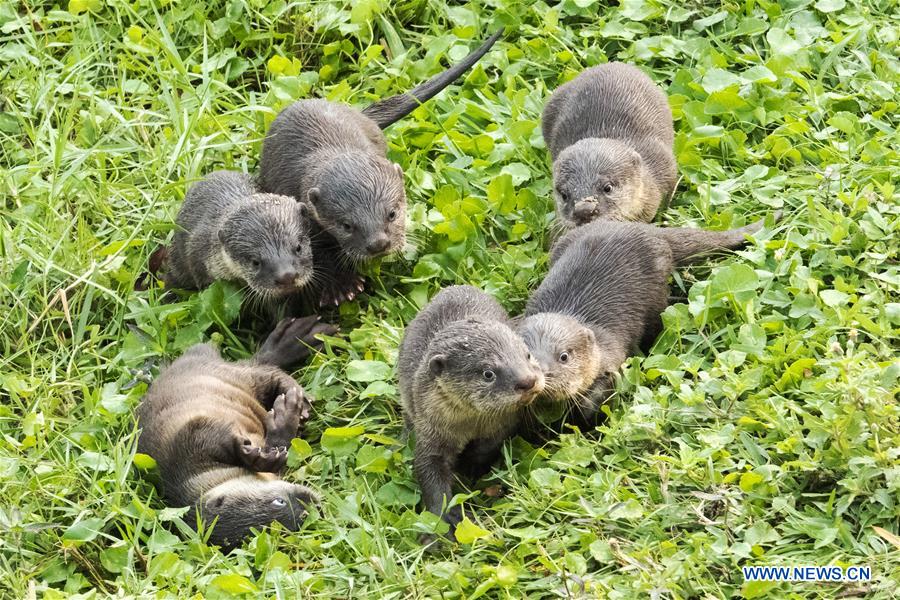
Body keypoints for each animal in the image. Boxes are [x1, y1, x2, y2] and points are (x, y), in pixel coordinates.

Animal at [136, 316, 332, 549]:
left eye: (279, 501)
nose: (312, 506)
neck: (201, 473)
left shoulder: (189, 441)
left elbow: (210, 432)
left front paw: (255, 455)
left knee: (265, 369)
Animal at [397, 285, 544, 539]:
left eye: (526, 355)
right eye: (488, 373)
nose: (528, 380)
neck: (469, 425)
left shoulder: (503, 424)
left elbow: (488, 447)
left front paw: (470, 467)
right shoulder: (431, 431)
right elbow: (428, 469)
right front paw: (446, 518)